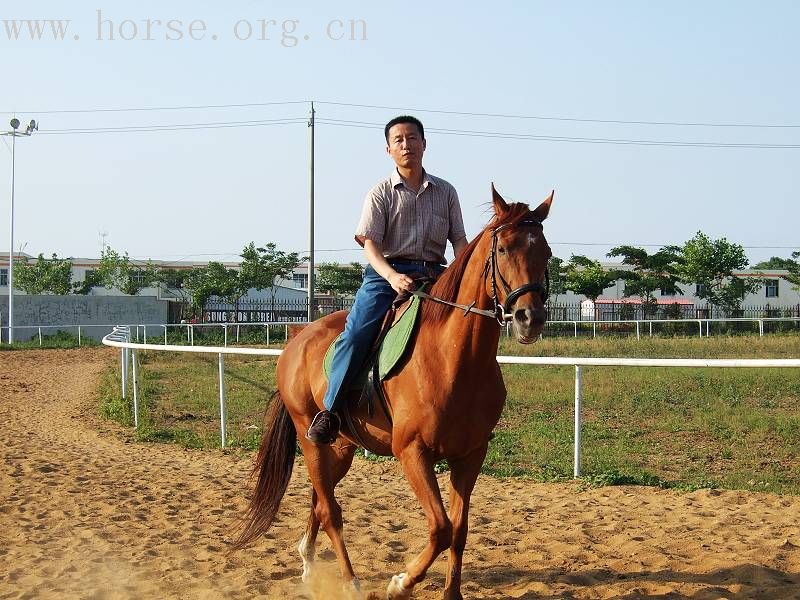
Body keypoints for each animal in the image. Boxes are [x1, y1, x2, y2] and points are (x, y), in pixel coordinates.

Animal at [234, 185, 552, 596]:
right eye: (503, 250)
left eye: (545, 253)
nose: (531, 318)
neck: (452, 359)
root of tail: (296, 339)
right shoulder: (412, 451)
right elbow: (440, 528)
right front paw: (401, 582)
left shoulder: (470, 455)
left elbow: (459, 530)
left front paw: (451, 593)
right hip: (311, 438)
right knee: (331, 511)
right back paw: (350, 581)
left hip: (342, 447)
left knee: (320, 500)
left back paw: (308, 563)